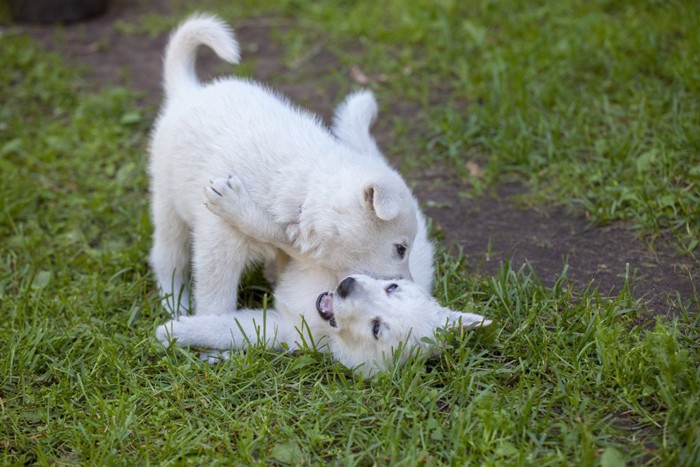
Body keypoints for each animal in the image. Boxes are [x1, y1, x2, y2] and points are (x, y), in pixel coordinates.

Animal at [148, 14, 424, 316]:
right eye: (401, 248)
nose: (413, 288)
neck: (305, 194)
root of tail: (188, 92)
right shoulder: (219, 243)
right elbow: (216, 295)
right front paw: (211, 320)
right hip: (167, 203)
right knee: (168, 257)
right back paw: (174, 303)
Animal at [157, 274, 492, 376]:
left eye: (376, 329)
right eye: (392, 286)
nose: (345, 285)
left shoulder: (283, 330)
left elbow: (226, 329)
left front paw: (170, 332)